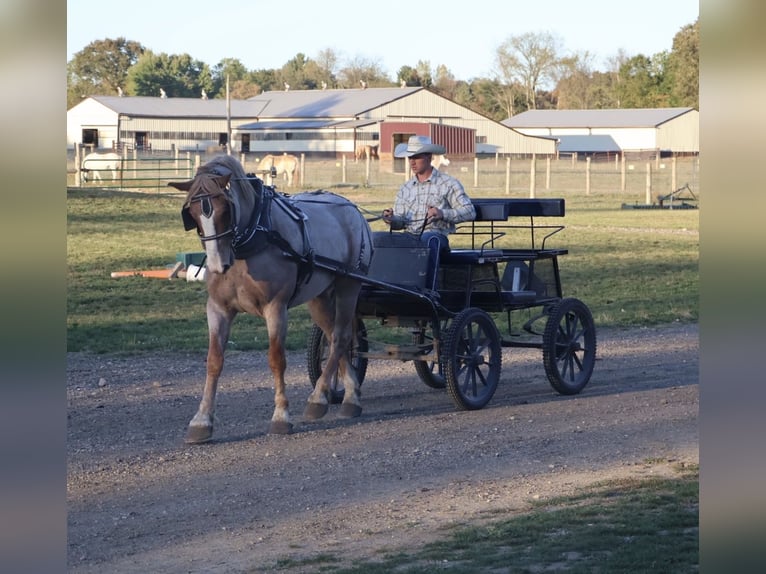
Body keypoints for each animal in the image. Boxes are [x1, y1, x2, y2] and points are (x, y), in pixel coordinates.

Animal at [168, 155, 373, 444]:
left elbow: (277, 359)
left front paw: (280, 416)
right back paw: (347, 395)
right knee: (334, 336)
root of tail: (353, 210)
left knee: (341, 337)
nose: (219, 266)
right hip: (319, 297)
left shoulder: (276, 308)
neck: (251, 238)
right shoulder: (218, 308)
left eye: (225, 210)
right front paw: (202, 420)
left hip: (348, 286)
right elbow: (214, 361)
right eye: (193, 214)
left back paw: (319, 398)